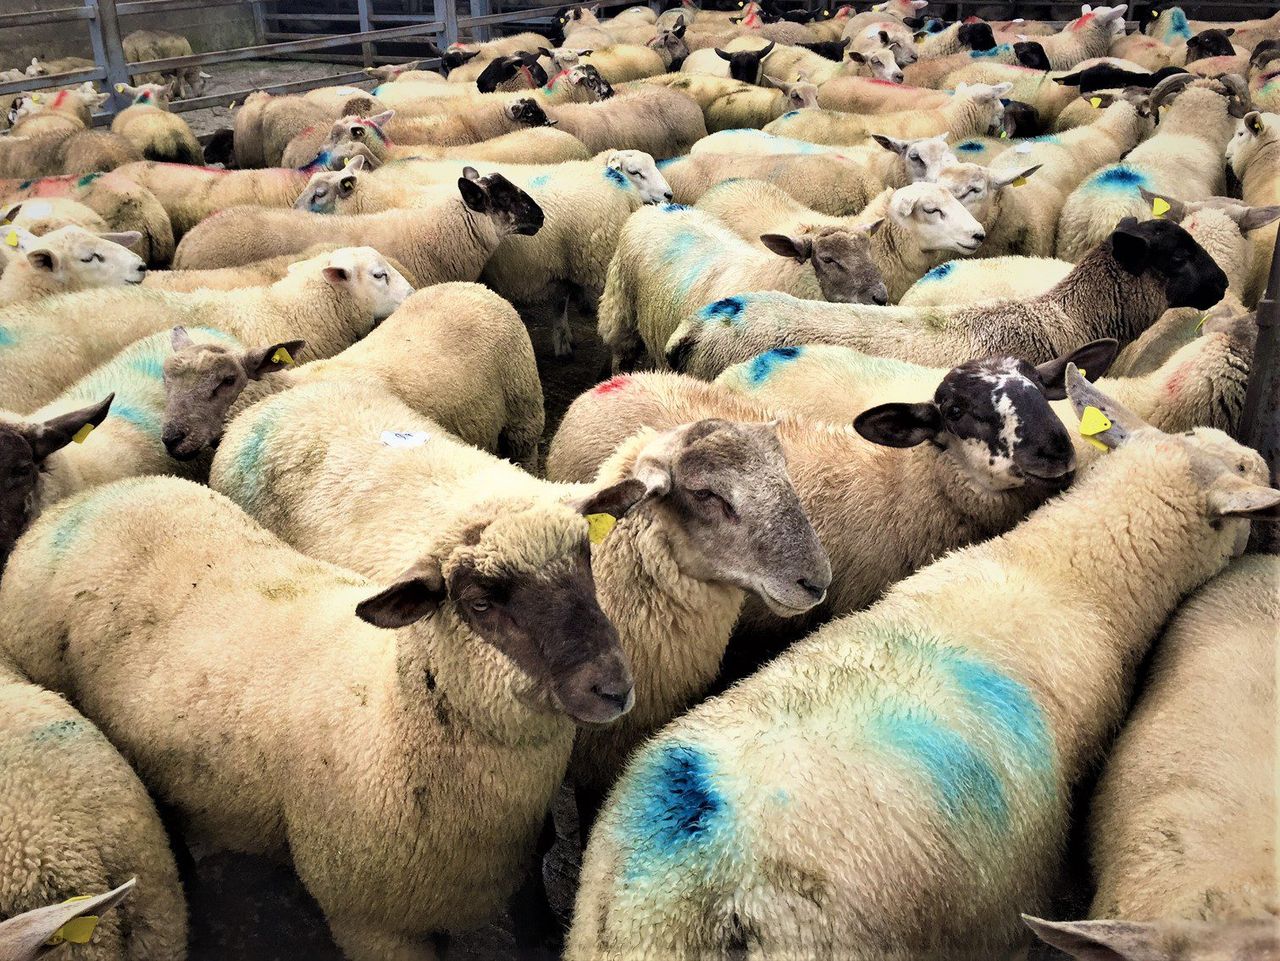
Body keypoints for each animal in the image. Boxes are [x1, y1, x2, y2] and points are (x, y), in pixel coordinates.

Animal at [163, 283, 545, 470]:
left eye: (227, 380)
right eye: (166, 380)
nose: (171, 439)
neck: (291, 385)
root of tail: (474, 285)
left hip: (524, 409)